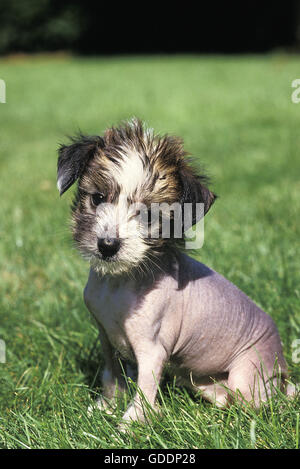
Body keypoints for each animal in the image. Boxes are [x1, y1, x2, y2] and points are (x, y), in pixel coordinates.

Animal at [56, 118, 292, 424]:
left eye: (147, 215)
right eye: (97, 198)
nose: (107, 245)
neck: (120, 283)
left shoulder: (152, 350)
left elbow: (144, 391)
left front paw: (130, 425)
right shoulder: (106, 339)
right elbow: (111, 377)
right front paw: (105, 407)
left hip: (247, 380)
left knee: (272, 401)